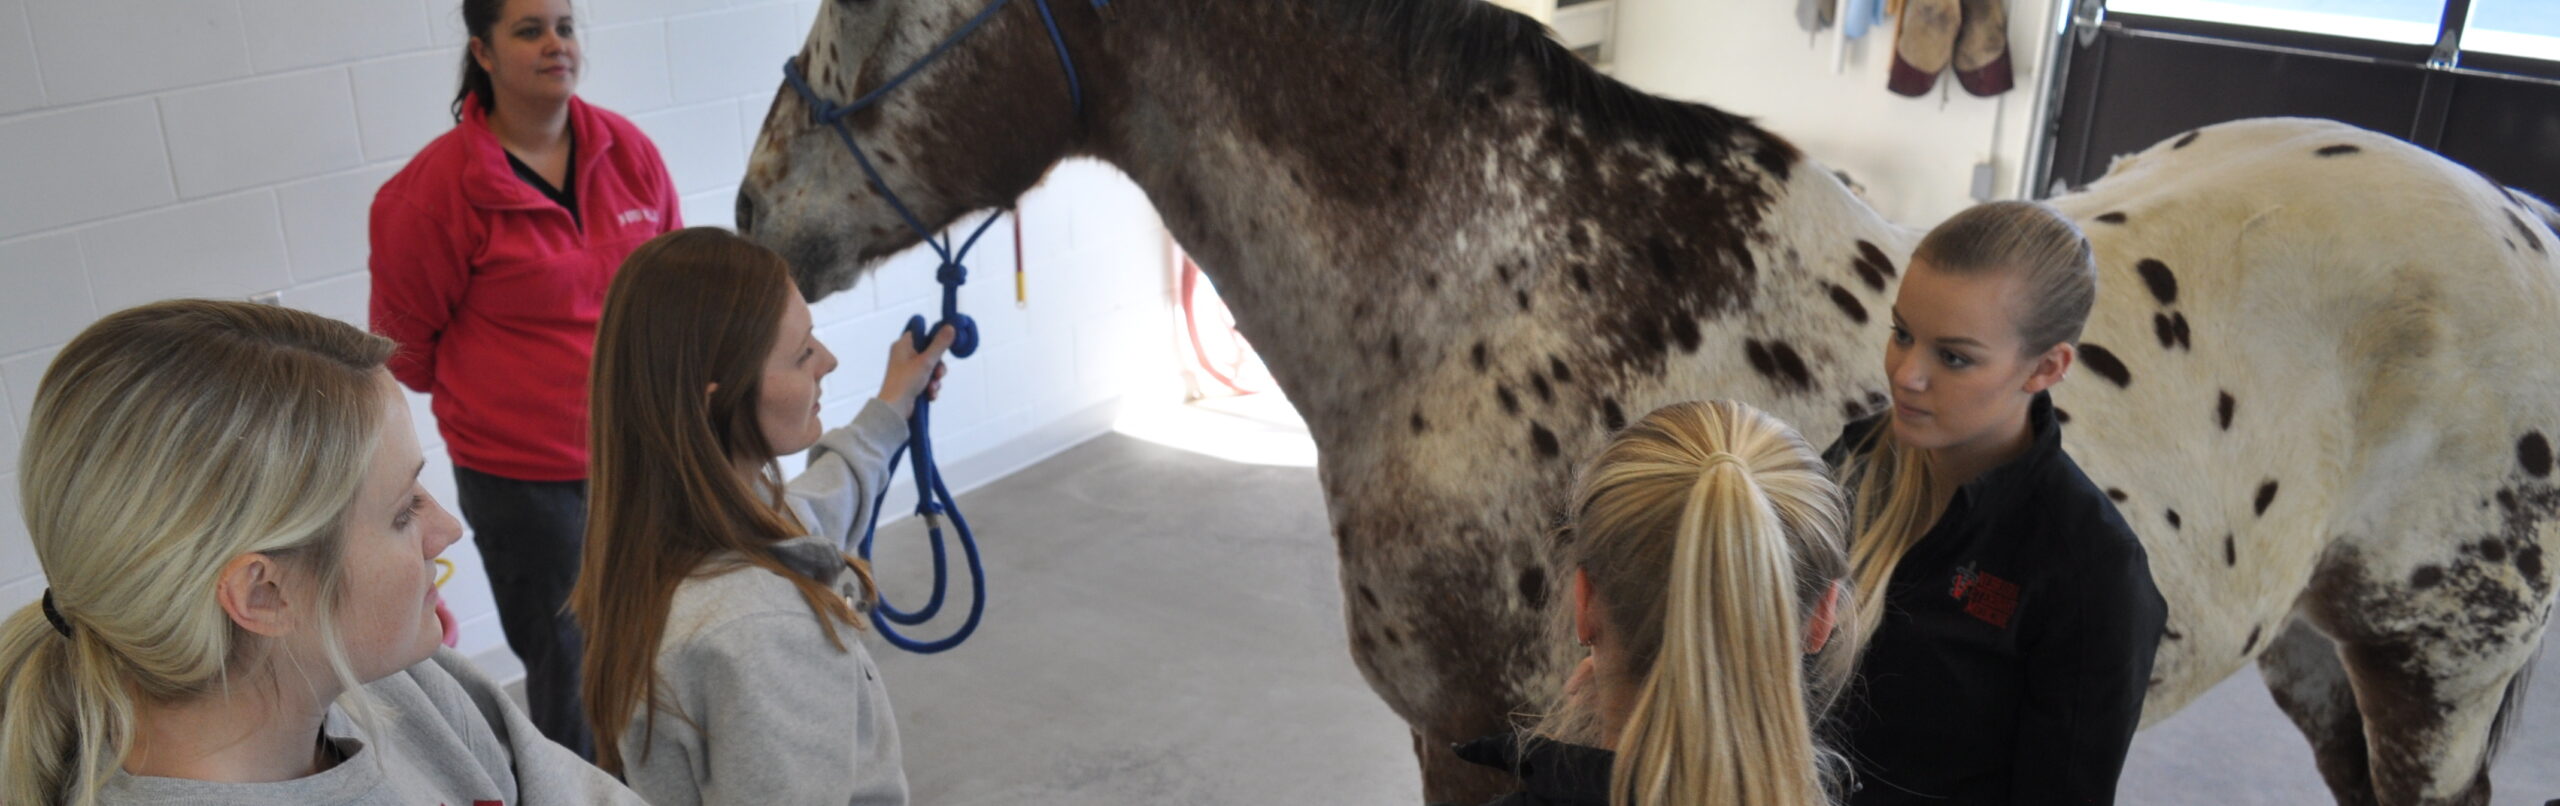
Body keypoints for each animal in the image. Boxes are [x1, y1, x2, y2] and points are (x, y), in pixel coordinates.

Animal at [727, 3, 2560, 803]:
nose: (750, 216)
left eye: (863, 2)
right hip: (2322, 656)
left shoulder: (1505, 734)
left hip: (2435, 663)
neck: (1498, 284)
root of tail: (2512, 213)